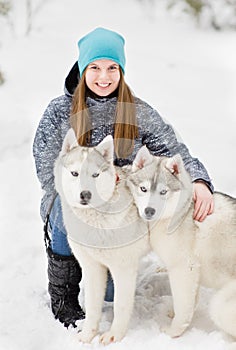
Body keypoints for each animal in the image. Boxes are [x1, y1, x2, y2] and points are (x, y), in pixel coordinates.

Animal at [54, 129, 148, 344]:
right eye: (75, 173)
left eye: (95, 175)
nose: (86, 194)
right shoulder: (92, 268)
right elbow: (92, 306)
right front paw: (87, 335)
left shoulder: (124, 269)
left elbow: (121, 306)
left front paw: (115, 336)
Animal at [127, 146, 236, 340]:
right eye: (143, 189)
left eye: (163, 192)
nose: (149, 211)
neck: (180, 213)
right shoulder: (191, 273)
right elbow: (190, 300)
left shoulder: (184, 268)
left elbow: (183, 304)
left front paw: (174, 331)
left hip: (222, 306)